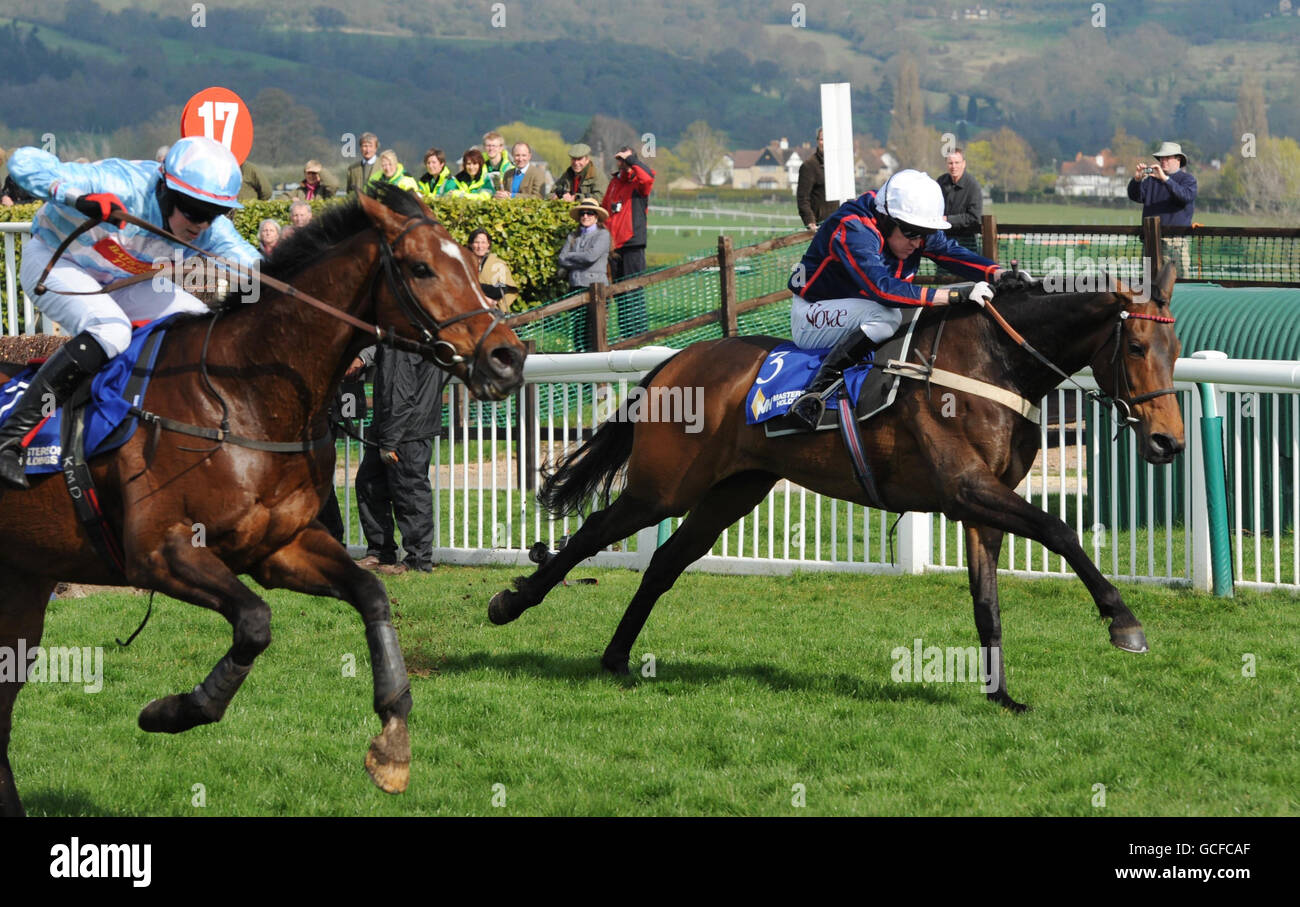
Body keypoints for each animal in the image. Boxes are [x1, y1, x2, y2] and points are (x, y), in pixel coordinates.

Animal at [1, 183, 527, 810]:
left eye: (475, 263)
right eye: (421, 268)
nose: (508, 357)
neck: (241, 396)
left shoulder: (279, 547)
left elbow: (372, 593)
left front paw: (393, 742)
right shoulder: (158, 552)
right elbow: (255, 622)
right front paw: (174, 710)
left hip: (23, 587)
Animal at [488, 261, 1190, 706]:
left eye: (1176, 350)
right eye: (1135, 349)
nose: (1168, 443)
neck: (996, 363)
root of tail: (676, 360)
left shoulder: (979, 504)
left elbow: (987, 600)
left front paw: (1002, 696)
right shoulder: (966, 487)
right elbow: (1059, 529)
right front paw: (1123, 622)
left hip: (733, 490)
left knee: (665, 562)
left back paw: (615, 658)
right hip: (665, 487)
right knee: (593, 534)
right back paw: (510, 605)